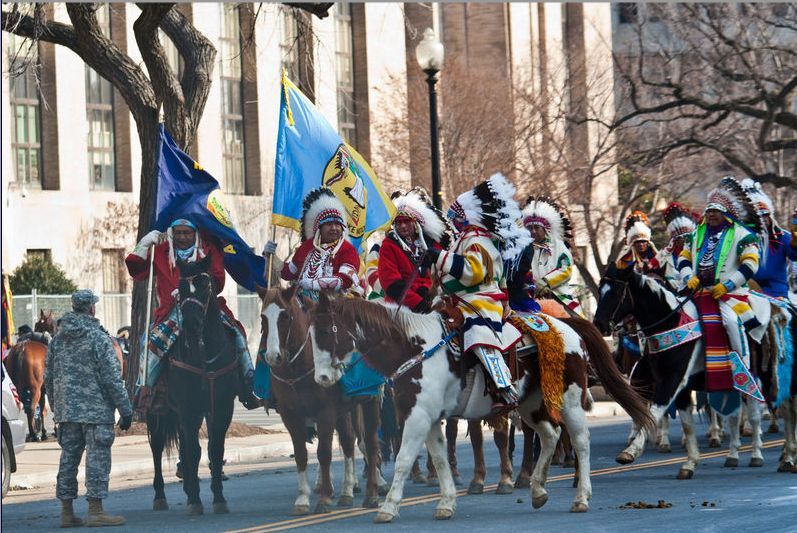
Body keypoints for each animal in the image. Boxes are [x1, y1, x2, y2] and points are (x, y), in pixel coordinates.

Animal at [145, 258, 239, 516]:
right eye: (181, 288)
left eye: (205, 287)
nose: (190, 324)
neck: (205, 355)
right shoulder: (188, 408)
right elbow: (195, 451)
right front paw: (196, 501)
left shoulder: (221, 408)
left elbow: (214, 450)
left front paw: (218, 499)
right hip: (155, 412)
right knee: (157, 447)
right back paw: (160, 496)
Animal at [255, 286, 380, 512]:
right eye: (263, 317)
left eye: (285, 316)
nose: (273, 357)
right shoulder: (290, 415)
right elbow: (300, 453)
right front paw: (303, 499)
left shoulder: (325, 412)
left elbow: (323, 452)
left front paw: (324, 499)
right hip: (344, 410)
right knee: (348, 441)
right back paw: (347, 491)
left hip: (369, 401)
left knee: (370, 442)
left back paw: (373, 492)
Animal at [306, 290, 652, 520]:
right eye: (310, 333)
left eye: (325, 331)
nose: (321, 378)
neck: (413, 348)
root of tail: (568, 325)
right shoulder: (427, 418)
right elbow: (440, 460)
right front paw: (446, 503)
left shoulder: (418, 417)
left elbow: (404, 460)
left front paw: (388, 507)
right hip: (530, 404)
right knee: (550, 434)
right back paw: (538, 491)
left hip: (568, 401)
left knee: (580, 440)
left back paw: (581, 497)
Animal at [592, 264, 792, 476]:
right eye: (600, 290)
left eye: (615, 293)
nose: (599, 325)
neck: (670, 324)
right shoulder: (671, 384)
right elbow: (685, 424)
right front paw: (689, 462)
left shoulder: (672, 380)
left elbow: (655, 411)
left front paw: (631, 451)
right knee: (744, 414)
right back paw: (742, 455)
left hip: (766, 375)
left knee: (775, 410)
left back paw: (780, 455)